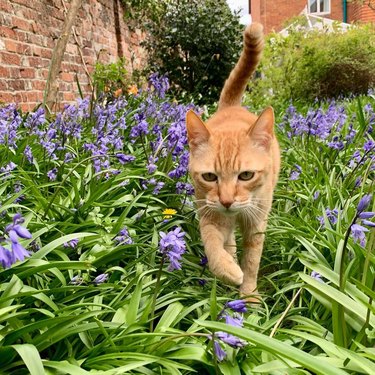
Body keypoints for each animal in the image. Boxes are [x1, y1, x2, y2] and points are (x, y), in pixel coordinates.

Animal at [187, 22, 280, 302]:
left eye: (246, 175)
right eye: (209, 177)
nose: (227, 201)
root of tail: (231, 107)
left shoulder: (256, 224)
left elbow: (252, 261)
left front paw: (249, 295)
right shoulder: (210, 216)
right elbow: (213, 246)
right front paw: (229, 270)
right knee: (228, 242)